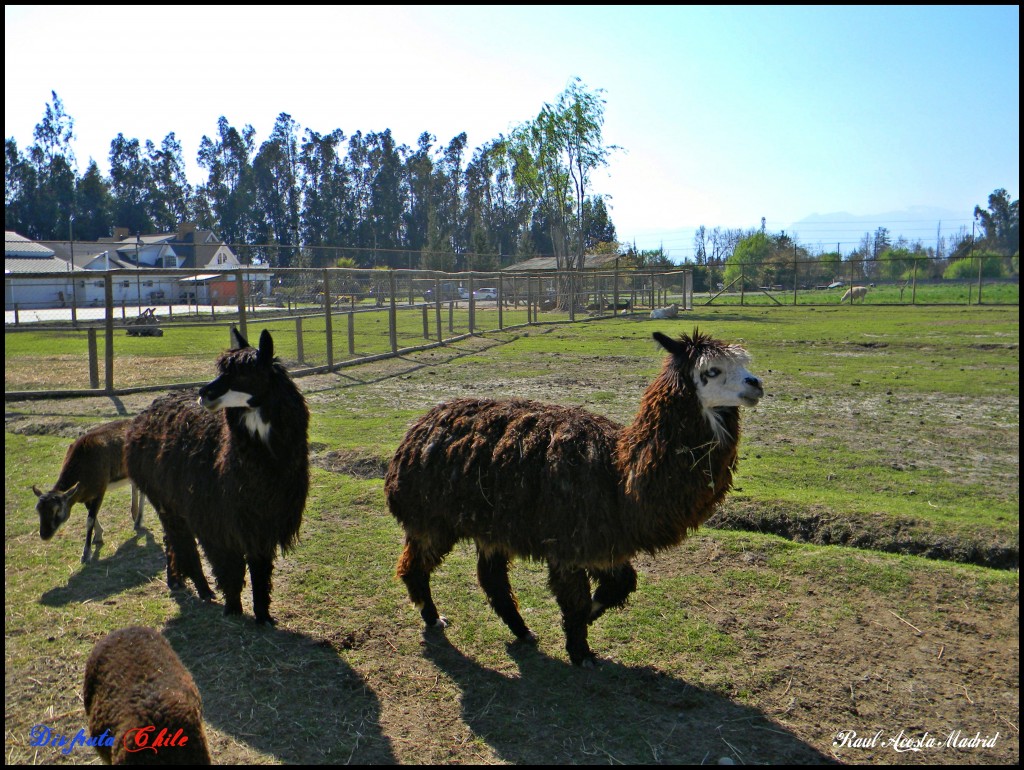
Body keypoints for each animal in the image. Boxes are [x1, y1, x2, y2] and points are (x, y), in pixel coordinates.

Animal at [33, 417, 144, 561]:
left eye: (57, 510)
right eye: (38, 510)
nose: (44, 535)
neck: (85, 463)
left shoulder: (100, 490)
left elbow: (90, 519)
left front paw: (86, 553)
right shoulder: (84, 494)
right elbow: (92, 515)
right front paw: (98, 536)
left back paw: (138, 521)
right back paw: (134, 515)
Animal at [125, 327, 307, 622]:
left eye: (243, 374)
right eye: (222, 370)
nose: (204, 393)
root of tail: (145, 413)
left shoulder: (263, 520)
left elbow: (260, 568)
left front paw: (263, 616)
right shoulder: (216, 518)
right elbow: (228, 566)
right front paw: (232, 608)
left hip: (172, 499)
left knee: (172, 538)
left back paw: (176, 581)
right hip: (165, 496)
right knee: (181, 540)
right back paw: (201, 589)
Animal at [387, 327, 765, 663]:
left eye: (743, 364)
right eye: (711, 371)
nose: (756, 384)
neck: (619, 473)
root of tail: (418, 427)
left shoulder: (603, 543)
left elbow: (621, 585)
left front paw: (587, 622)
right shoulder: (570, 544)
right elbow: (576, 600)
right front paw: (581, 652)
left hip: (492, 526)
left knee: (491, 579)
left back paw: (522, 631)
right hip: (431, 519)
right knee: (414, 567)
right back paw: (433, 617)